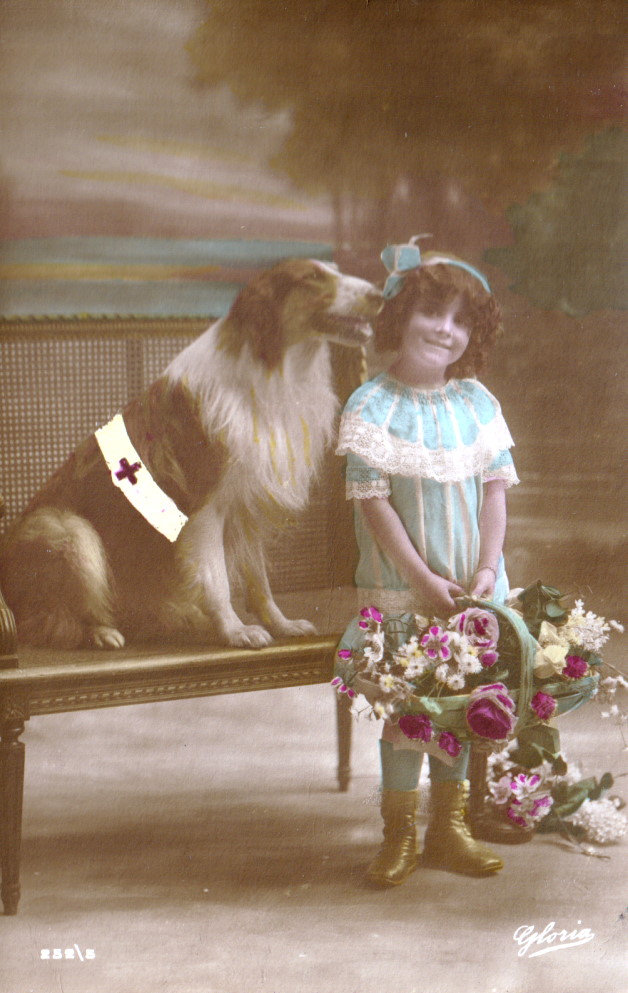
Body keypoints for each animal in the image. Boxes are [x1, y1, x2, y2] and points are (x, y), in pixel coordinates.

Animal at [0, 259, 381, 650]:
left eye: (334, 270)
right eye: (313, 277)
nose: (380, 295)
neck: (273, 367)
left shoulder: (246, 508)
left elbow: (260, 581)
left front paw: (281, 624)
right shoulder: (204, 510)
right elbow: (217, 581)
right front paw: (236, 630)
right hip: (69, 530)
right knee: (53, 621)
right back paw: (103, 632)